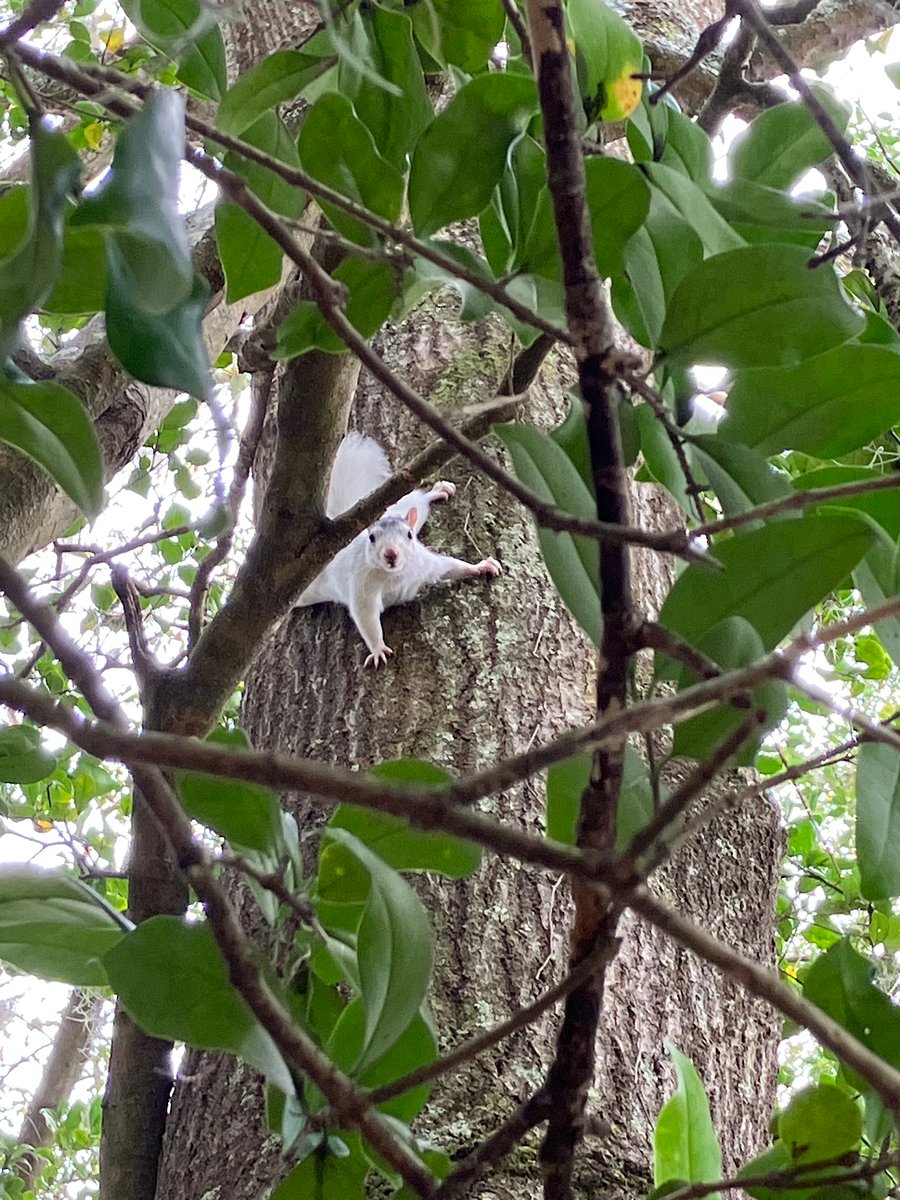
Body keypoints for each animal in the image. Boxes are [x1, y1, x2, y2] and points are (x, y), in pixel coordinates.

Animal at [295, 432, 501, 667]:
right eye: (372, 538)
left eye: (409, 535)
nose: (391, 553)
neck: (394, 575)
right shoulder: (363, 586)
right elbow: (367, 618)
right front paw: (378, 649)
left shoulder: (424, 564)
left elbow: (450, 566)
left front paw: (482, 566)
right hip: (310, 589)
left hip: (405, 505)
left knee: (419, 500)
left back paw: (438, 491)